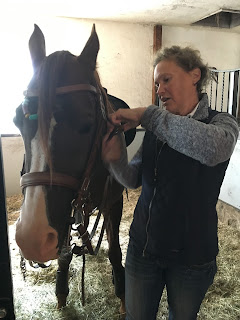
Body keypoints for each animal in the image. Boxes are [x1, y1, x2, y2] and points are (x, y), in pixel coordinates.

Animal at [13, 23, 135, 314]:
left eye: (87, 123)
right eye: (17, 120)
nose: (33, 238)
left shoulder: (113, 203)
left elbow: (115, 250)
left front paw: (122, 291)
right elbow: (65, 252)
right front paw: (61, 291)